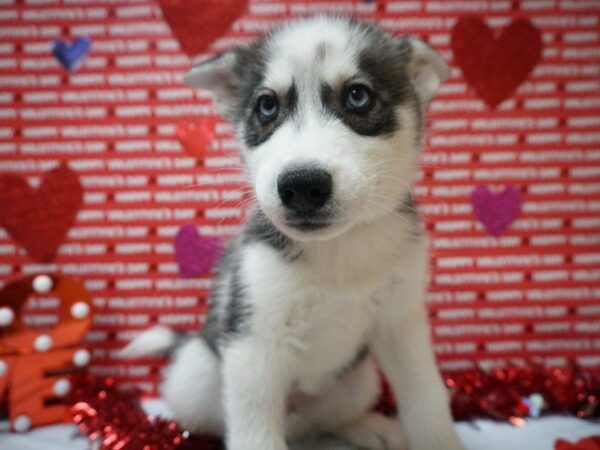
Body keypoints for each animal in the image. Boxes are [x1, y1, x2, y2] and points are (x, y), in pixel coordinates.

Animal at [124, 15, 464, 450]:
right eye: (267, 105)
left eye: (357, 96)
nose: (302, 185)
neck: (340, 249)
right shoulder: (253, 342)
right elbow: (254, 433)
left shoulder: (401, 321)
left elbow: (426, 397)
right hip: (196, 376)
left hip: (359, 379)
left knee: (326, 419)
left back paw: (370, 427)